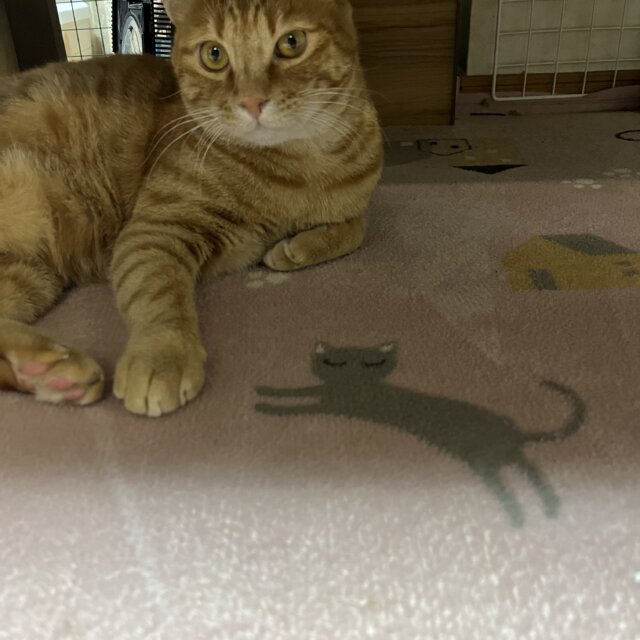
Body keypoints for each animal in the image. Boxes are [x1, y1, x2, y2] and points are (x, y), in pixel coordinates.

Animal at [0, 0, 383, 416]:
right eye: (214, 55)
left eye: (292, 42)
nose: (252, 101)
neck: (303, 168)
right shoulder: (155, 230)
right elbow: (160, 295)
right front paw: (162, 356)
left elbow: (357, 228)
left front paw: (295, 248)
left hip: (33, 277)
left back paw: (49, 373)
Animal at [255, 343, 586, 526]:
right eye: (333, 362)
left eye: (371, 362)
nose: (348, 370)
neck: (351, 384)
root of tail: (515, 432)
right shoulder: (330, 396)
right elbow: (298, 391)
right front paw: (263, 390)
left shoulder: (333, 403)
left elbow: (299, 399)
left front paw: (264, 404)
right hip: (503, 458)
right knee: (532, 472)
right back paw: (548, 508)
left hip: (484, 460)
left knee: (509, 485)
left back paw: (520, 516)